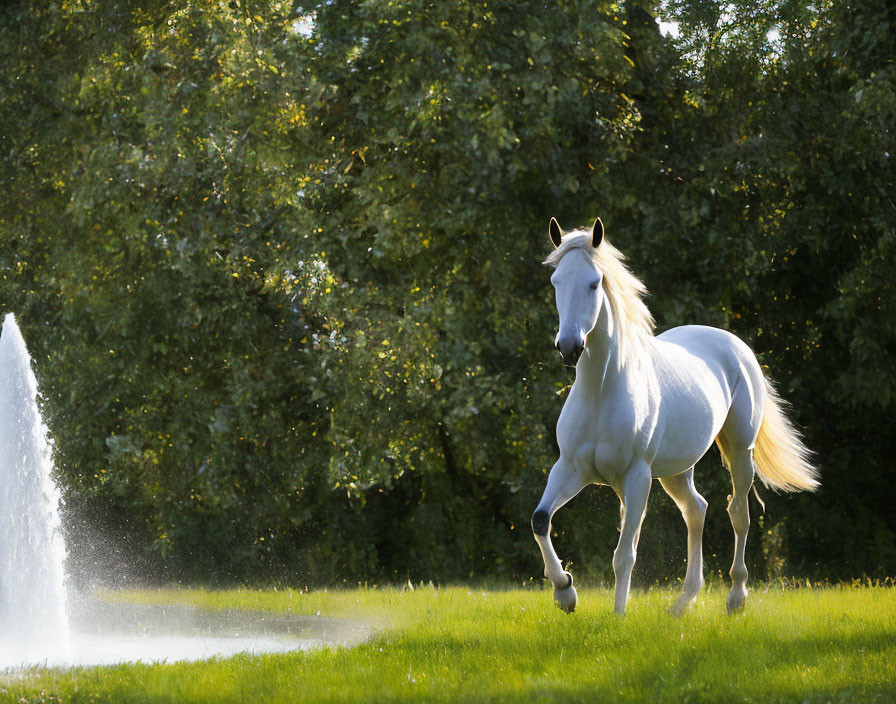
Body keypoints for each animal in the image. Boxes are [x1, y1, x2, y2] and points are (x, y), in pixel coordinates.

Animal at [532, 217, 820, 612]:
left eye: (594, 283)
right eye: (556, 282)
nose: (569, 347)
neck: (602, 390)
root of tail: (736, 346)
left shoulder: (637, 477)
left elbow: (624, 555)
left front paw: (617, 617)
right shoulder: (572, 469)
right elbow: (541, 520)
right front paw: (565, 591)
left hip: (738, 452)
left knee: (738, 514)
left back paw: (735, 598)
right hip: (676, 470)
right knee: (696, 510)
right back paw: (682, 605)